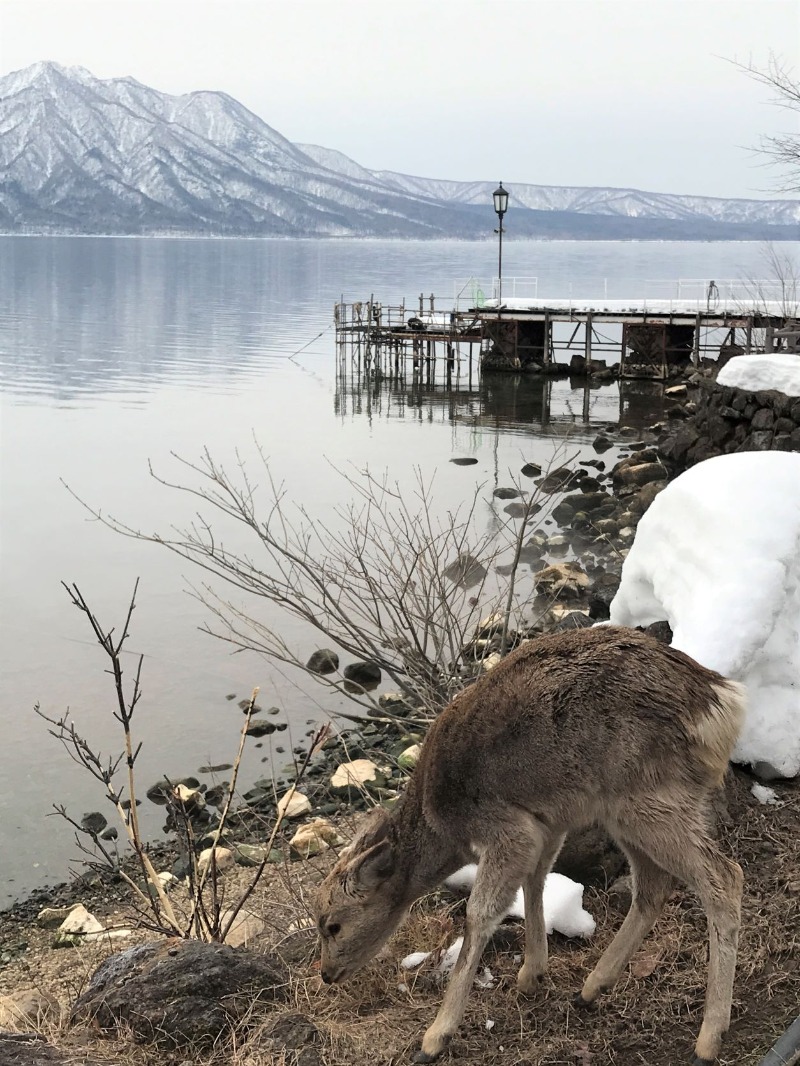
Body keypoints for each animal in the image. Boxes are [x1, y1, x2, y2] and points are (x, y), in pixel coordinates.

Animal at [315, 622, 750, 1066]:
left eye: (332, 924)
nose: (327, 974)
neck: (445, 826)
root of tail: (722, 703)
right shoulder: (547, 821)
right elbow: (536, 880)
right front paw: (532, 973)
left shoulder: (506, 827)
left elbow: (479, 914)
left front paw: (435, 1037)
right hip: (626, 810)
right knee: (653, 887)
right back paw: (591, 988)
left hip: (650, 798)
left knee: (725, 876)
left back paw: (709, 1038)